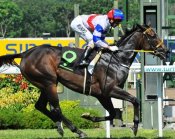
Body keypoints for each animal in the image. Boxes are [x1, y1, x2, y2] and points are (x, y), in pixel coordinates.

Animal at [0, 24, 167, 137]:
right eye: (152, 35)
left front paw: (89, 116)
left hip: (45, 84)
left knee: (41, 106)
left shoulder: (102, 94)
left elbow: (113, 113)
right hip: (48, 82)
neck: (116, 58)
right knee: (56, 108)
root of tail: (25, 53)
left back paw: (61, 127)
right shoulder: (109, 89)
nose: (165, 51)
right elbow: (134, 100)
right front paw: (136, 126)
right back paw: (77, 130)